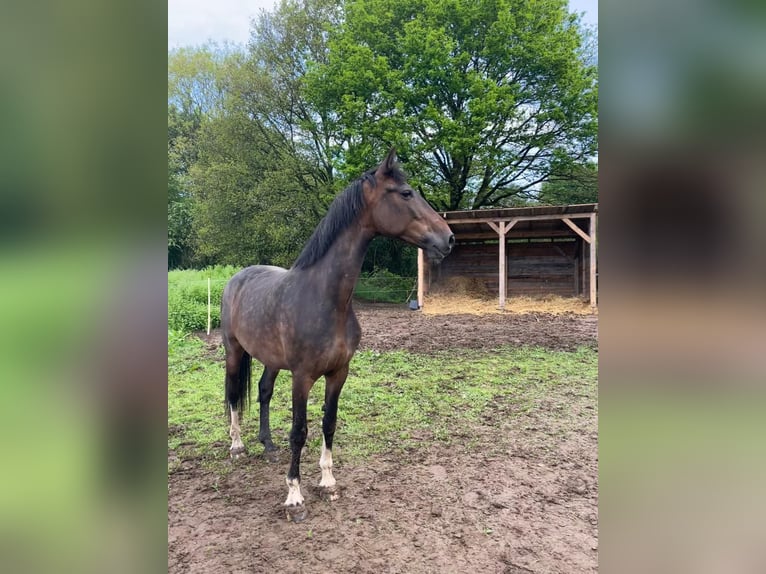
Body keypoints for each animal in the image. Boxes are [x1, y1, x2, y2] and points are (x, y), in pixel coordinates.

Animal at [219, 148, 452, 520]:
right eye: (405, 193)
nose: (448, 238)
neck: (326, 299)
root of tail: (236, 278)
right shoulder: (302, 377)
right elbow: (299, 431)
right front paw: (294, 496)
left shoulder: (339, 372)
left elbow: (329, 422)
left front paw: (327, 482)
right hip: (233, 351)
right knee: (232, 395)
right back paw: (238, 445)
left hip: (271, 360)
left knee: (264, 391)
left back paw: (267, 444)